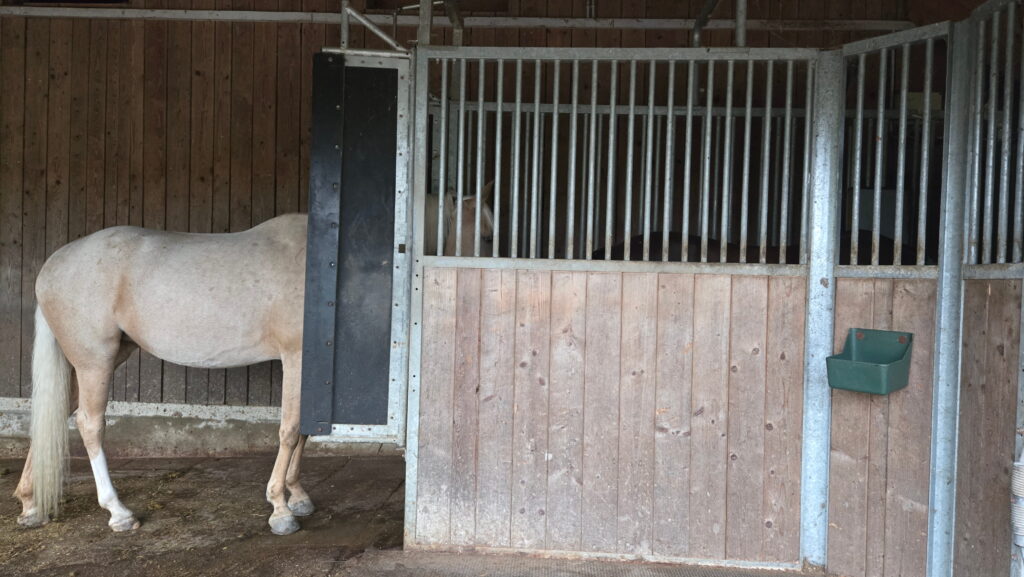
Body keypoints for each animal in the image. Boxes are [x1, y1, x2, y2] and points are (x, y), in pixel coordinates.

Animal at [14, 187, 493, 536]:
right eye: (487, 234)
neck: (327, 268)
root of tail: (53, 265)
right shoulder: (297, 358)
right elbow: (290, 429)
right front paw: (281, 510)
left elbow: (303, 430)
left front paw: (297, 496)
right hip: (94, 361)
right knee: (89, 425)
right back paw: (118, 512)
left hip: (101, 358)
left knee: (55, 414)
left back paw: (31, 504)